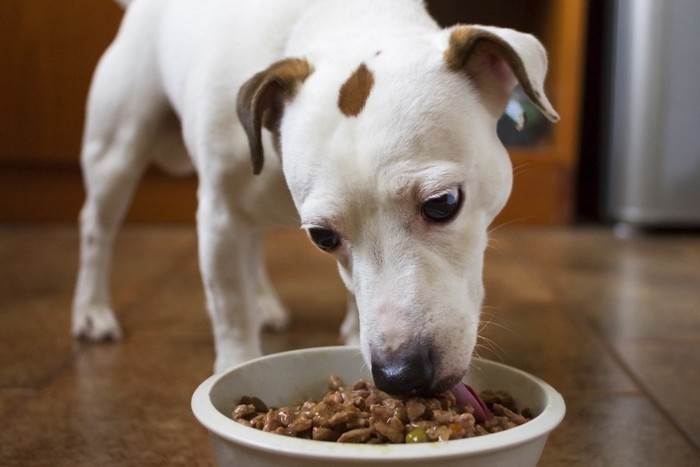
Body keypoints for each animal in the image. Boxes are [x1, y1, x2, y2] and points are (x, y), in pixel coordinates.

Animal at [72, 0, 556, 398]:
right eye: (323, 238)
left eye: (442, 203)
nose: (402, 375)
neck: (348, 21)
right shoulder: (220, 216)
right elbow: (229, 303)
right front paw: (235, 363)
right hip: (116, 152)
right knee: (98, 229)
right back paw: (92, 310)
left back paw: (264, 302)